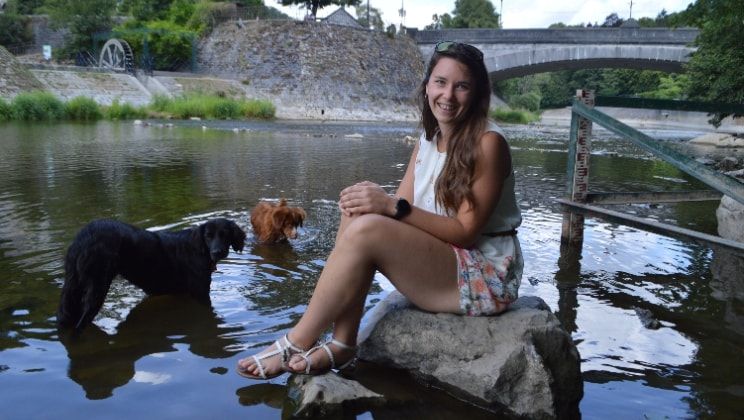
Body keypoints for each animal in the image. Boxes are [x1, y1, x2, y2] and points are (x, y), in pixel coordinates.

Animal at [57, 218, 246, 330]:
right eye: (208, 236)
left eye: (225, 235)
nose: (217, 252)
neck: (199, 248)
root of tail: (83, 237)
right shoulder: (200, 292)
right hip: (96, 287)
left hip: (72, 288)